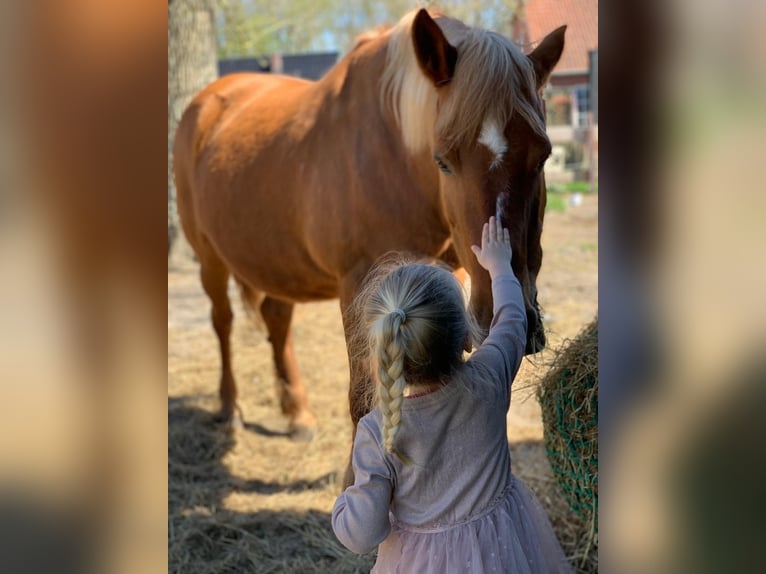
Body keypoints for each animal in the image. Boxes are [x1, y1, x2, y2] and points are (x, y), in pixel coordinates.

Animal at [173, 9, 565, 485]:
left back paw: (297, 414)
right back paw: (230, 408)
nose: (508, 319)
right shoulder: (361, 287)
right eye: (443, 160)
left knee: (276, 320)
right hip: (208, 257)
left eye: (543, 156)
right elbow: (362, 399)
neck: (394, 158)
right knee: (223, 323)